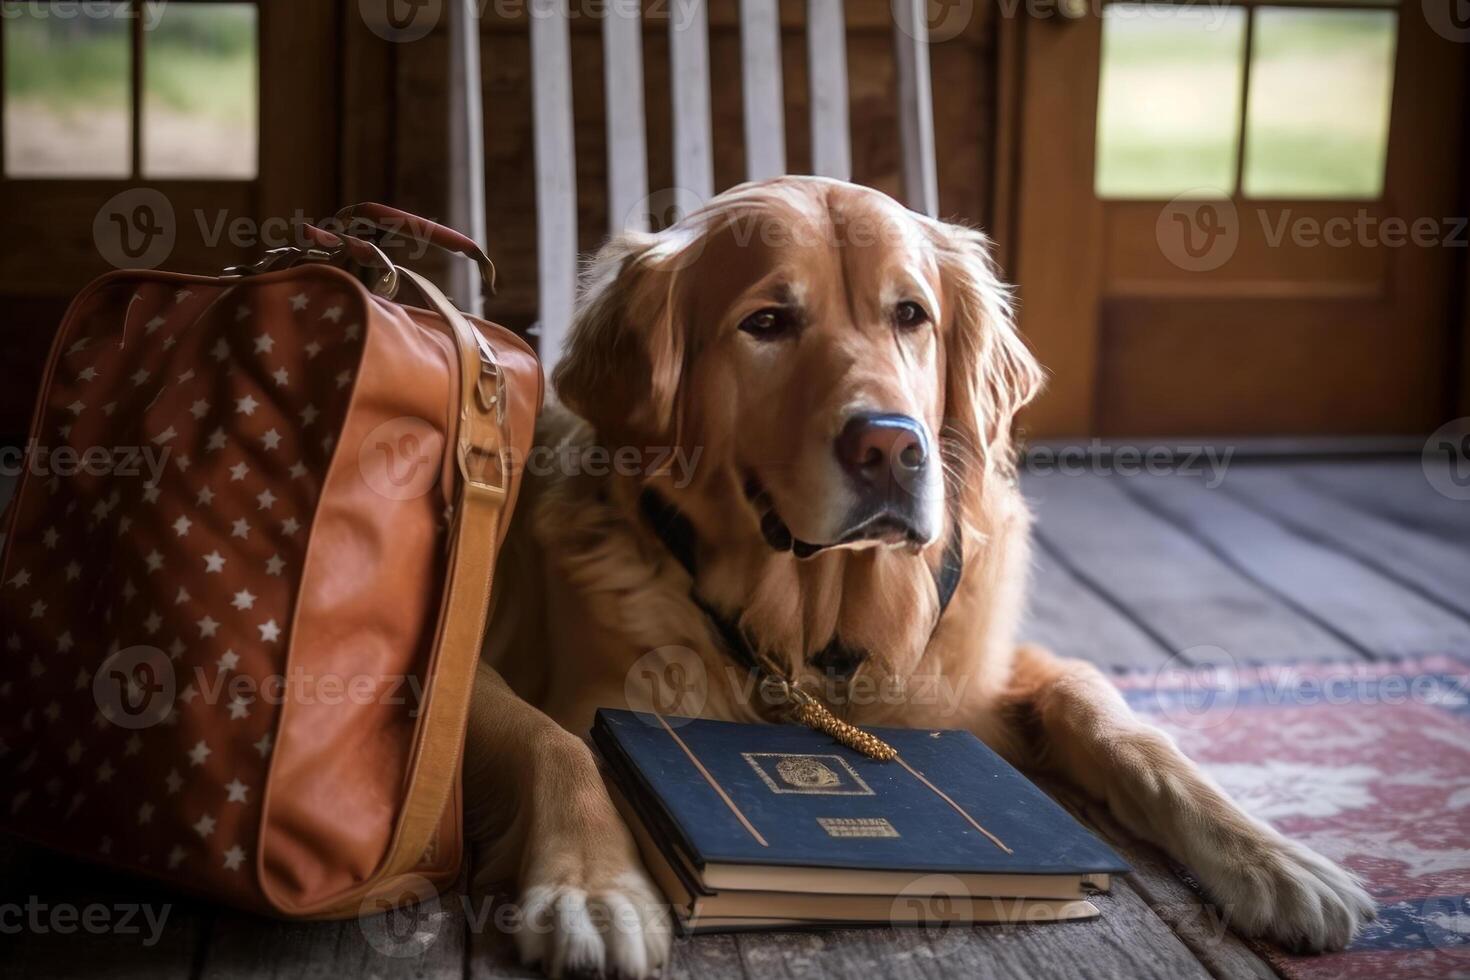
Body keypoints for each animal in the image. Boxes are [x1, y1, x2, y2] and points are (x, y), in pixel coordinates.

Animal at [458, 178, 1364, 980]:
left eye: (911, 315)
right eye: (766, 322)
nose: (891, 447)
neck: (820, 626)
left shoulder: (989, 674)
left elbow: (1113, 717)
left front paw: (1272, 857)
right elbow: (553, 739)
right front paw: (592, 890)